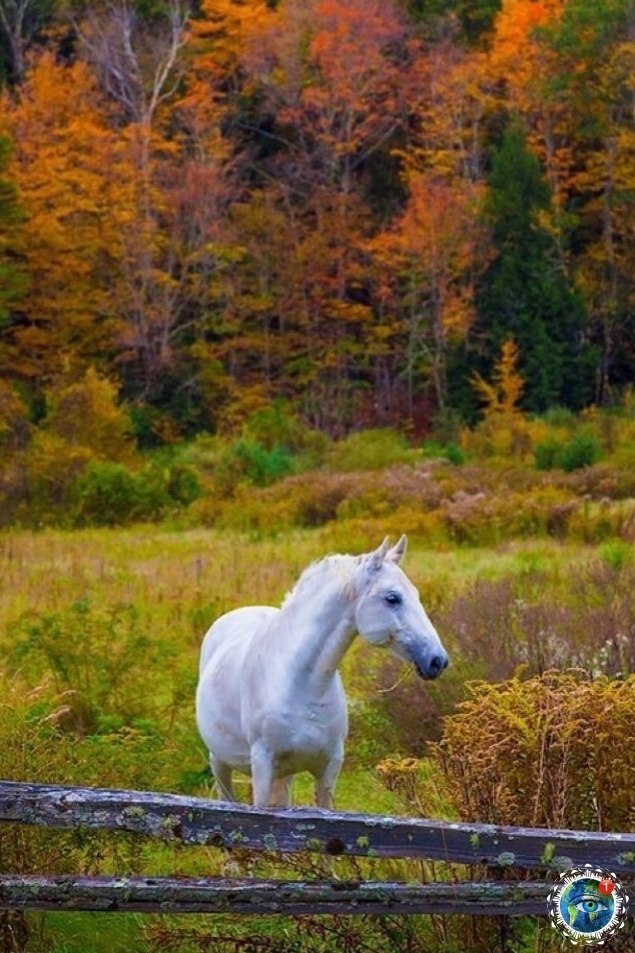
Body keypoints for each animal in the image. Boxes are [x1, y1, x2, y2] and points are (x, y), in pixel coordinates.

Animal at [194, 532, 448, 808]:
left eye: (415, 594)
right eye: (392, 598)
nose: (437, 660)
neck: (299, 683)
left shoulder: (329, 766)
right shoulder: (262, 765)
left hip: (285, 775)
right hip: (220, 763)